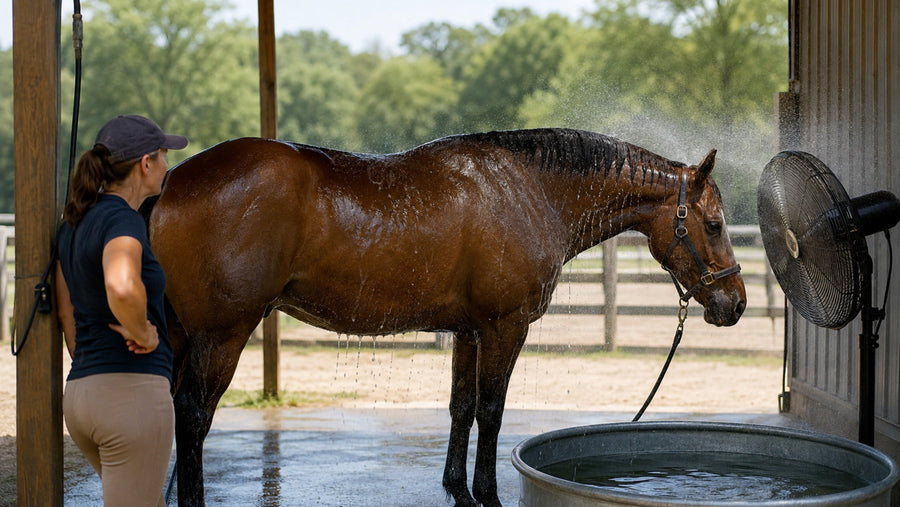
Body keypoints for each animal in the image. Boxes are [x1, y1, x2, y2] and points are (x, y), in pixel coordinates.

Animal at [147, 128, 745, 506]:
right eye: (714, 224)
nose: (735, 303)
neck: (531, 189)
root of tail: (171, 182)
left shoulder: (468, 331)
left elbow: (461, 409)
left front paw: (458, 490)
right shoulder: (504, 327)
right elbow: (492, 411)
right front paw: (488, 495)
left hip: (182, 335)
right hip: (222, 335)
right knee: (194, 415)